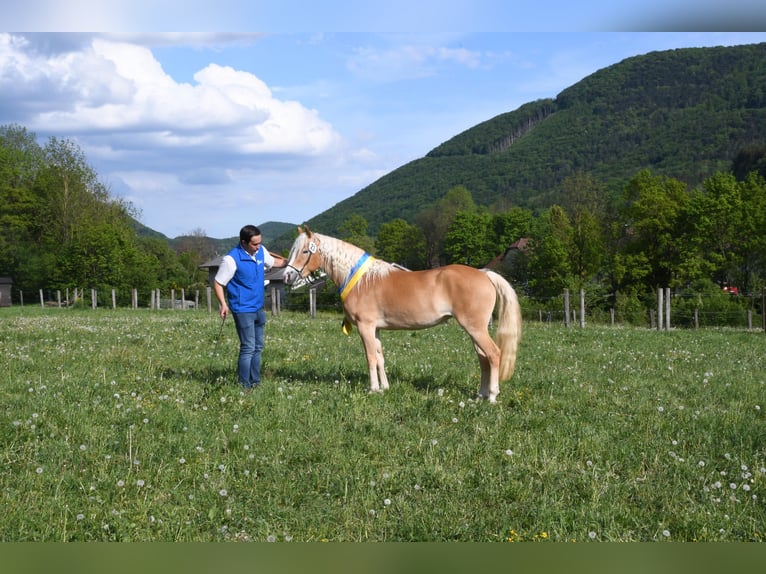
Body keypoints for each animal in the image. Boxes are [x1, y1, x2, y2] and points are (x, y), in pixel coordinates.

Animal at [283, 227, 522, 403]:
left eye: (305, 251)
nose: (286, 276)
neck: (361, 280)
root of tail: (484, 274)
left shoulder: (365, 327)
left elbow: (370, 357)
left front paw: (373, 389)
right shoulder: (375, 329)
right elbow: (380, 357)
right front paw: (384, 388)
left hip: (475, 328)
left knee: (494, 354)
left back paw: (492, 396)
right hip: (474, 330)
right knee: (483, 358)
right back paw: (480, 395)